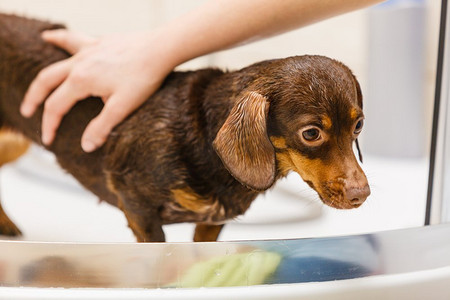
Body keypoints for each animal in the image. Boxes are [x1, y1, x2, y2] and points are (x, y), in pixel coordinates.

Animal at [0, 14, 370, 244]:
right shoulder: (137, 206)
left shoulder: (210, 224)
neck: (204, 142)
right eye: (311, 133)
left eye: (359, 125)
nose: (362, 195)